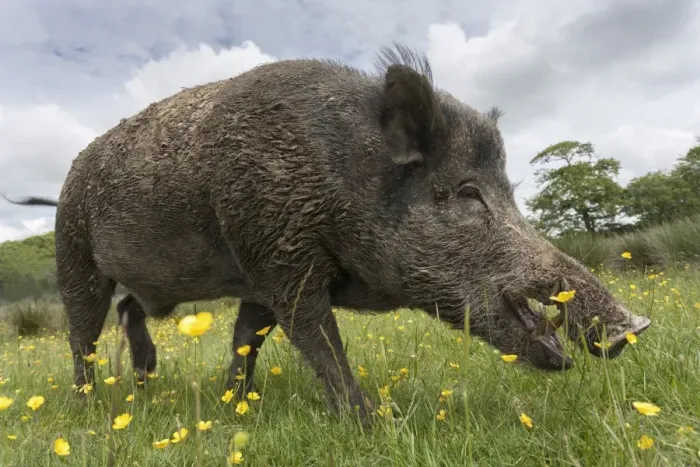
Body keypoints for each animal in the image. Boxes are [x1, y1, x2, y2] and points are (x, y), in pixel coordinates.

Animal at [4, 43, 650, 424]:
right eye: (468, 192)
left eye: (510, 190)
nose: (634, 325)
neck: (344, 179)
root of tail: (67, 181)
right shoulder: (277, 257)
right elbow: (319, 341)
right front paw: (372, 425)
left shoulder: (259, 273)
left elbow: (248, 338)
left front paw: (237, 404)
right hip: (72, 250)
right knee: (82, 331)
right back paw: (90, 404)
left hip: (146, 276)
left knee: (131, 308)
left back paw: (145, 378)